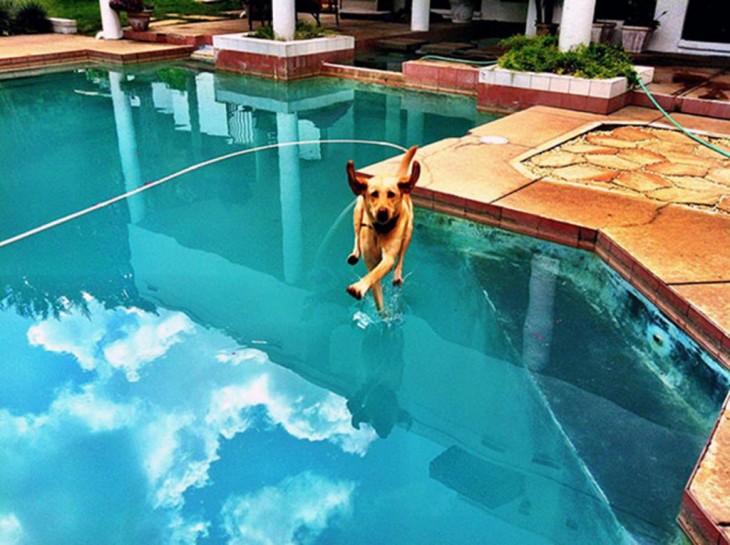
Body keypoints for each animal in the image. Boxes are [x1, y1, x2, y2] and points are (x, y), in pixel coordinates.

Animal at [344, 147, 418, 312]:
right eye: (374, 194)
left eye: (391, 194)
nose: (382, 212)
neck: (380, 230)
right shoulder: (371, 262)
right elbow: (375, 283)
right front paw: (382, 313)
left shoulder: (388, 258)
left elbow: (377, 273)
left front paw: (359, 287)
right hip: (357, 211)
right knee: (356, 235)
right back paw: (354, 254)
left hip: (409, 232)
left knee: (401, 256)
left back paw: (397, 275)